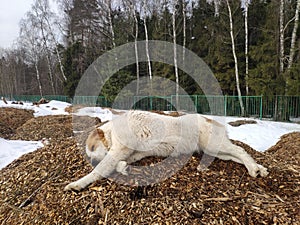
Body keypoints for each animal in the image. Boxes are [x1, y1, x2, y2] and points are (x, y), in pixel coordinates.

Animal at [64, 110, 268, 191]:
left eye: (92, 148)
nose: (92, 161)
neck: (112, 132)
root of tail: (213, 120)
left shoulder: (116, 152)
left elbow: (98, 171)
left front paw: (76, 184)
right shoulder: (134, 153)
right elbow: (123, 163)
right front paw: (124, 168)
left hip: (214, 145)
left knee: (240, 151)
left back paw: (253, 169)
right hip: (217, 151)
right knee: (237, 156)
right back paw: (259, 168)